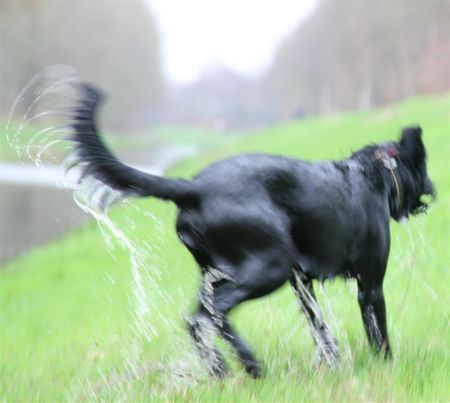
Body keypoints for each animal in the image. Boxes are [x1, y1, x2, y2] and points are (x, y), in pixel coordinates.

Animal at [70, 84, 436, 378]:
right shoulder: (369, 283)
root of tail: (194, 188)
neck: (375, 174)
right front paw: (386, 367)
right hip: (268, 267)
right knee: (214, 314)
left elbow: (320, 329)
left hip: (224, 273)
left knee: (197, 318)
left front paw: (332, 364)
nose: (434, 190)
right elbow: (379, 334)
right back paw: (249, 364)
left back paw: (222, 369)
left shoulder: (301, 284)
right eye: (425, 168)